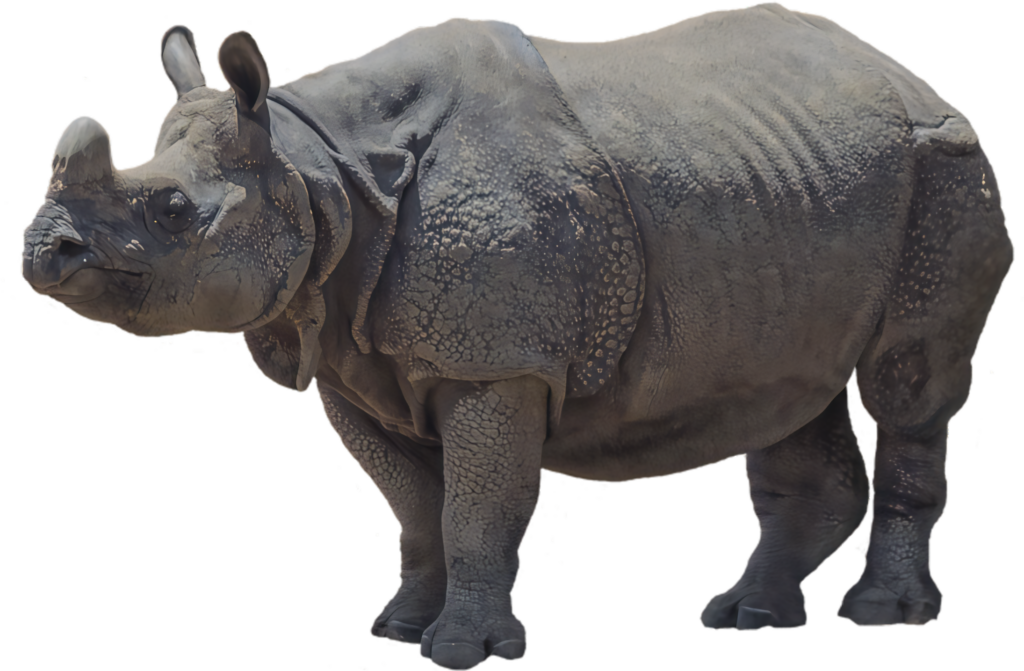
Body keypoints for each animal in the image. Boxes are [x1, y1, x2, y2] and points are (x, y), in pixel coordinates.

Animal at [20, 3, 1013, 669]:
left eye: (170, 209)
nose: (41, 250)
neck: (315, 171)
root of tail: (905, 71)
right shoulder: (354, 360)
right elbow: (415, 512)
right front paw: (398, 631)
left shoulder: (496, 362)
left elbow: (473, 508)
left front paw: (462, 653)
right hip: (795, 185)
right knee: (790, 390)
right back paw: (746, 616)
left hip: (941, 165)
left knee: (907, 386)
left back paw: (881, 613)